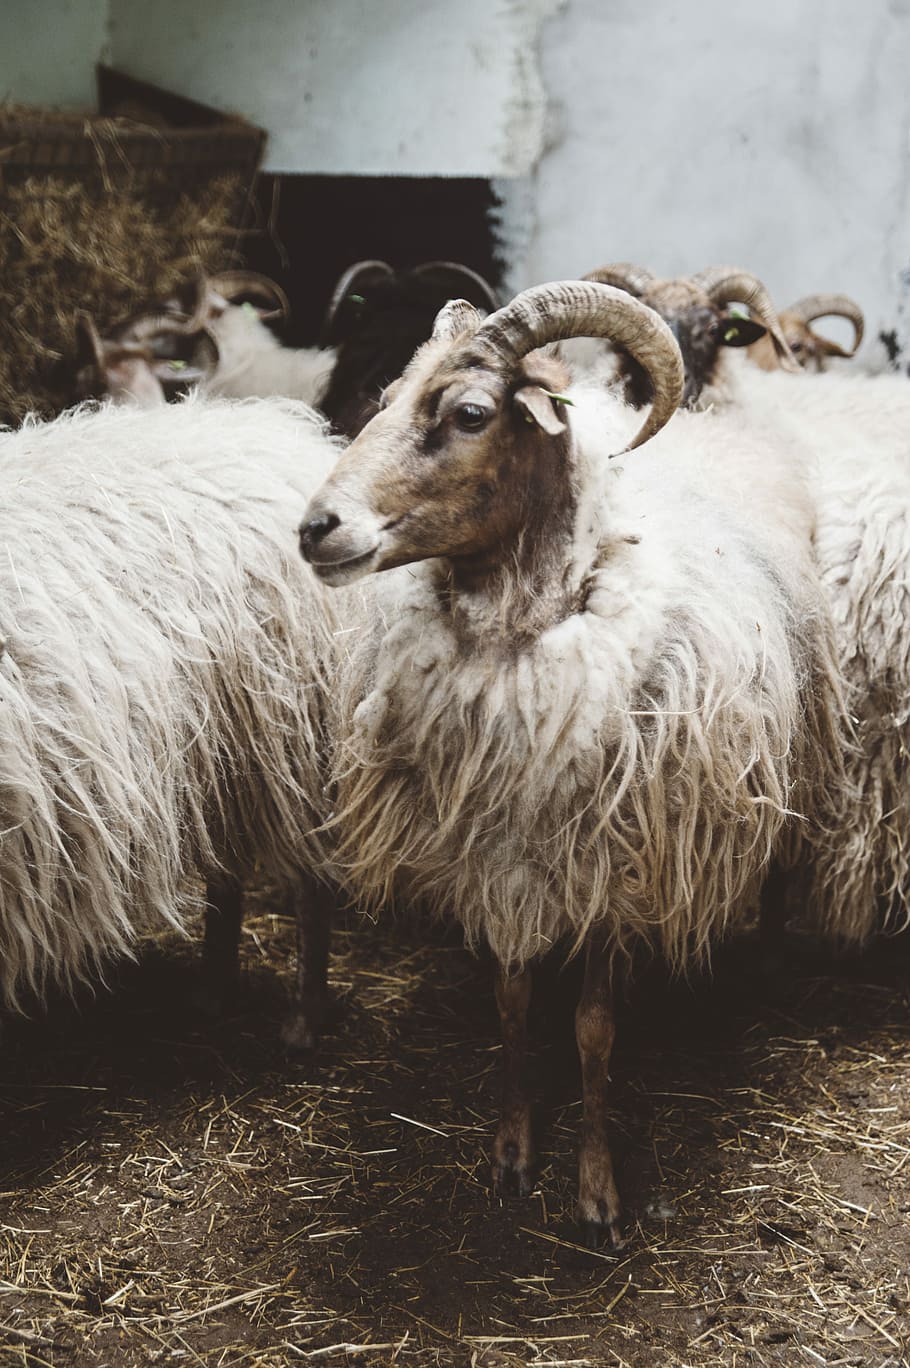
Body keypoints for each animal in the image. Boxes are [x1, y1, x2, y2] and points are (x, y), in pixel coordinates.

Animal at [0, 395, 342, 1048]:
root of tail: (289, 434)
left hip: (296, 736)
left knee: (313, 884)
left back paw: (303, 1021)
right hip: (220, 751)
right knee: (227, 870)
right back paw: (211, 992)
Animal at [298, 280, 847, 1246]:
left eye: (470, 413)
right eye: (385, 397)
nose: (316, 529)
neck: (526, 635)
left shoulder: (616, 866)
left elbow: (593, 1030)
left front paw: (596, 1191)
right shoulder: (501, 854)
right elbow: (513, 1005)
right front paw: (514, 1150)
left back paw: (771, 958)